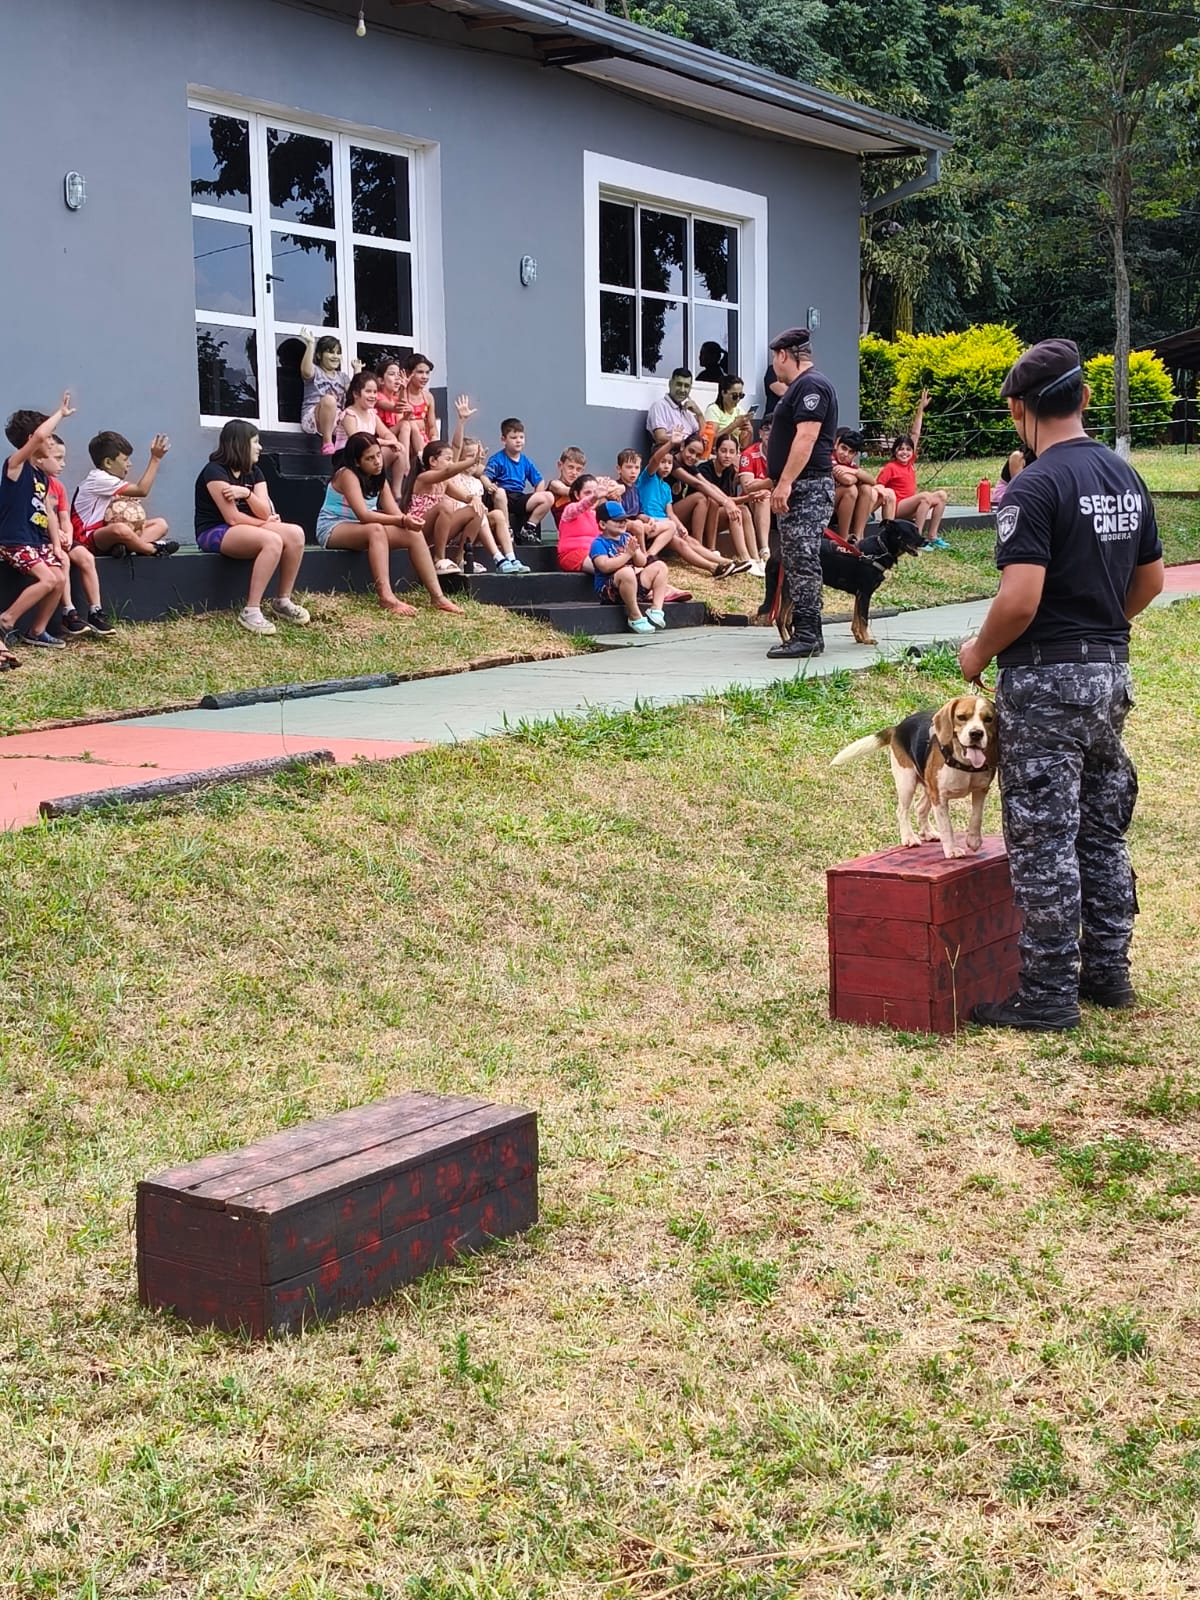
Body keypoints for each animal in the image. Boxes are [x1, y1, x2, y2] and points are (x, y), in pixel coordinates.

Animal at [832, 694, 998, 857]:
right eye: (961, 717)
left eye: (988, 719)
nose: (976, 734)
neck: (965, 764)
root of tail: (897, 727)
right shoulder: (939, 797)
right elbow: (947, 827)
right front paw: (951, 850)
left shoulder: (981, 790)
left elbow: (977, 816)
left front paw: (974, 840)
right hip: (907, 782)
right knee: (902, 811)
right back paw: (909, 837)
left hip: (927, 786)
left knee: (919, 807)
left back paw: (928, 832)